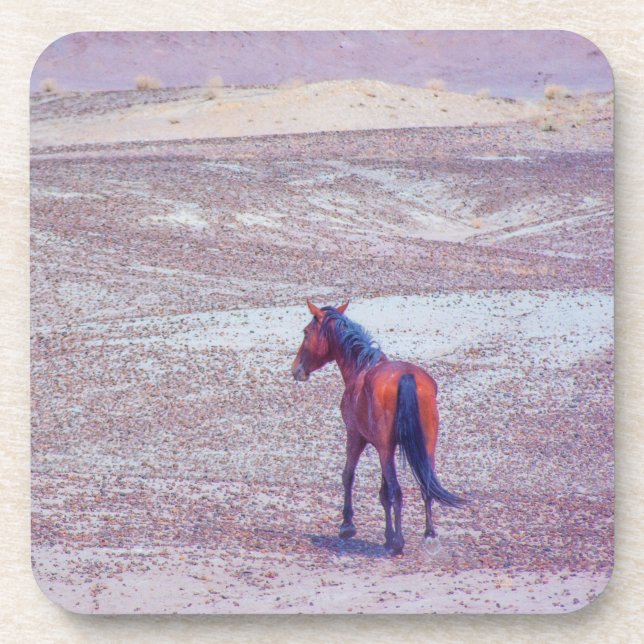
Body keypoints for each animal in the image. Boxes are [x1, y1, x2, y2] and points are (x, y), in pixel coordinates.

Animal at [291, 299, 465, 555]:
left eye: (305, 332)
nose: (296, 369)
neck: (360, 367)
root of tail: (406, 376)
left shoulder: (356, 437)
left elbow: (349, 476)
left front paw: (348, 526)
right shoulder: (386, 449)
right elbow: (384, 494)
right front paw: (387, 536)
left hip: (382, 447)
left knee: (397, 489)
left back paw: (399, 543)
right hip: (425, 447)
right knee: (425, 486)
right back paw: (429, 535)